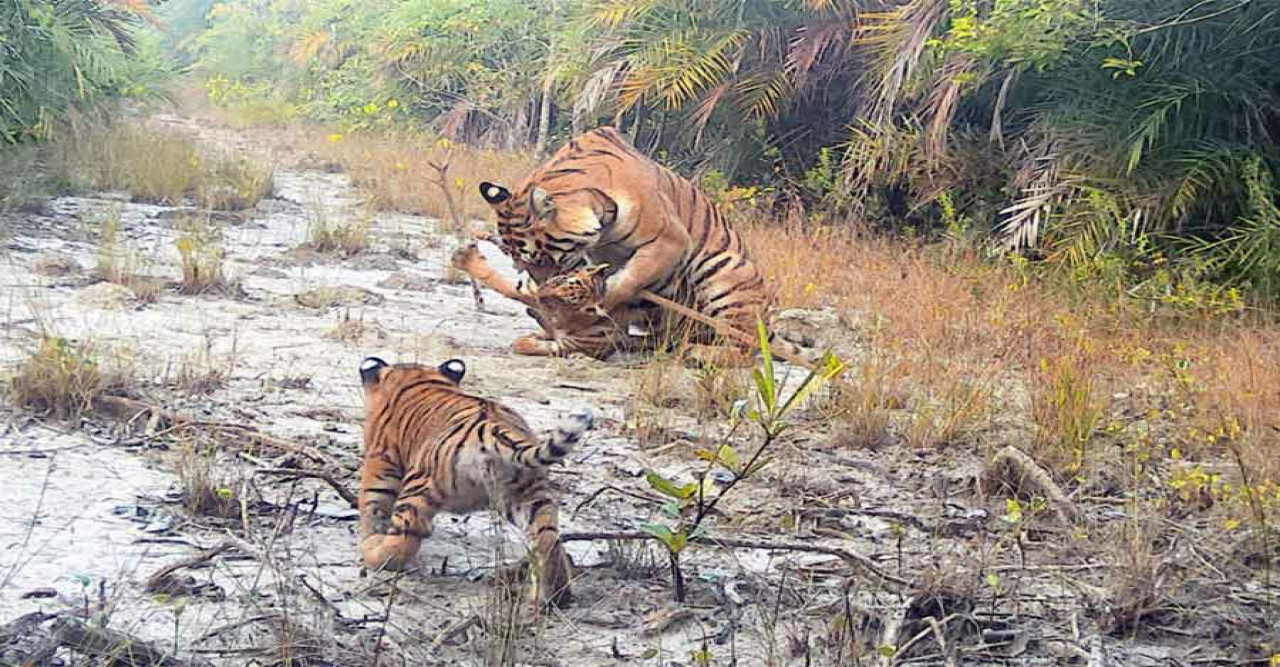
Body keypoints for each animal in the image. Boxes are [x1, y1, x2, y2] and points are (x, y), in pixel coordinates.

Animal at [358, 355, 591, 606]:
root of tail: (493, 429)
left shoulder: (381, 462)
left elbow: (372, 505)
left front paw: (371, 536)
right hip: (529, 495)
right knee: (547, 539)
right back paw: (552, 597)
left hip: (420, 485)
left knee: (404, 537)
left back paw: (373, 553)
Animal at [465, 125, 793, 368]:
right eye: (519, 263)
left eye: (543, 259)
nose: (540, 291)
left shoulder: (669, 241)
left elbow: (626, 282)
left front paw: (590, 312)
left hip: (724, 273)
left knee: (746, 349)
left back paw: (699, 352)